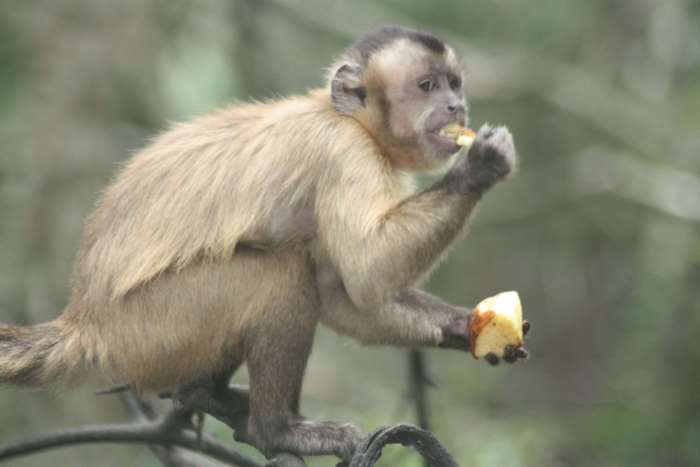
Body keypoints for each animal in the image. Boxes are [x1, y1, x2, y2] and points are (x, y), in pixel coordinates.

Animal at [0, 25, 528, 462]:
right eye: (427, 86)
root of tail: (85, 320)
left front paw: (467, 326)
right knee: (280, 273)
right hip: (150, 328)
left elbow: (343, 296)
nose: (456, 107)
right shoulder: (343, 153)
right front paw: (479, 166)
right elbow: (367, 270)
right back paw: (275, 430)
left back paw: (204, 395)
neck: (350, 120)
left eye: (454, 84)